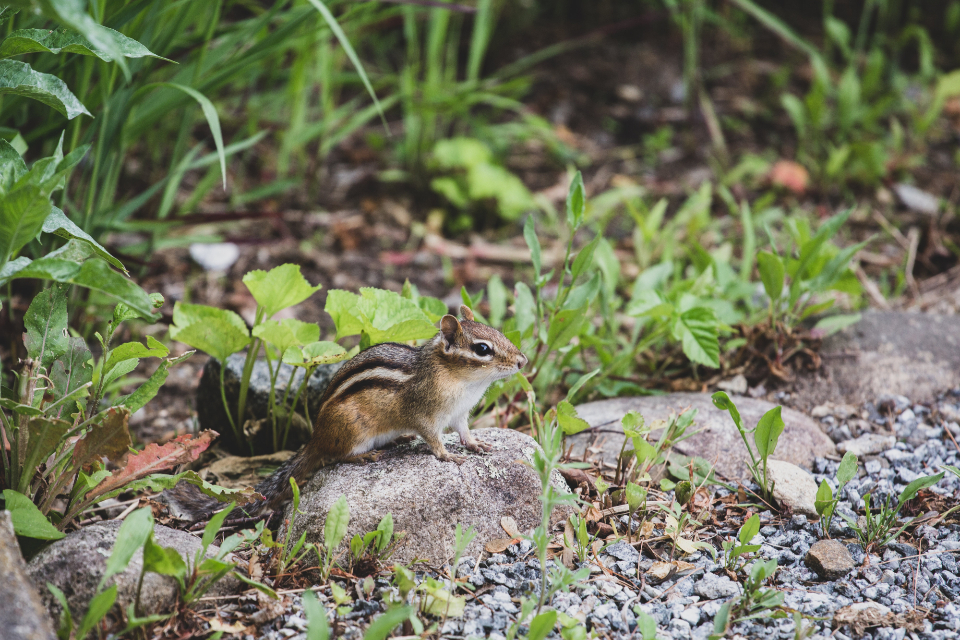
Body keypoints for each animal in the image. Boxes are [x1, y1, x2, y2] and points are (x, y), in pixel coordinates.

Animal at [163, 304, 528, 520]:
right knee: (334, 456)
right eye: (483, 349)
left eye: (500, 333)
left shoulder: (460, 414)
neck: (464, 382)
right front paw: (447, 455)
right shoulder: (426, 413)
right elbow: (433, 439)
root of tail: (315, 437)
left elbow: (465, 432)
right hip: (352, 430)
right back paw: (364, 456)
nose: (522, 361)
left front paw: (477, 445)